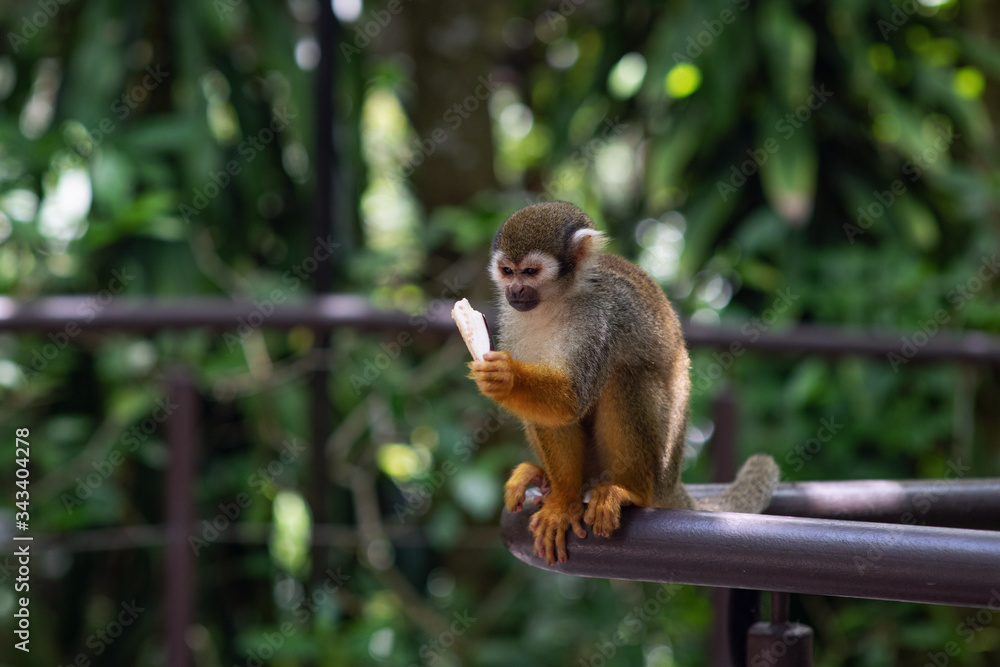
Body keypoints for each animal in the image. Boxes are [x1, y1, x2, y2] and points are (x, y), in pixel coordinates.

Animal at [468, 201, 779, 565]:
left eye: (530, 272)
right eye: (507, 271)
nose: (514, 291)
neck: (556, 301)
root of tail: (673, 483)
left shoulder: (599, 321)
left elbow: (572, 399)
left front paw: (506, 376)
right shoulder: (512, 318)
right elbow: (556, 414)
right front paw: (563, 502)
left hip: (659, 466)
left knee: (626, 375)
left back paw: (630, 492)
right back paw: (545, 479)